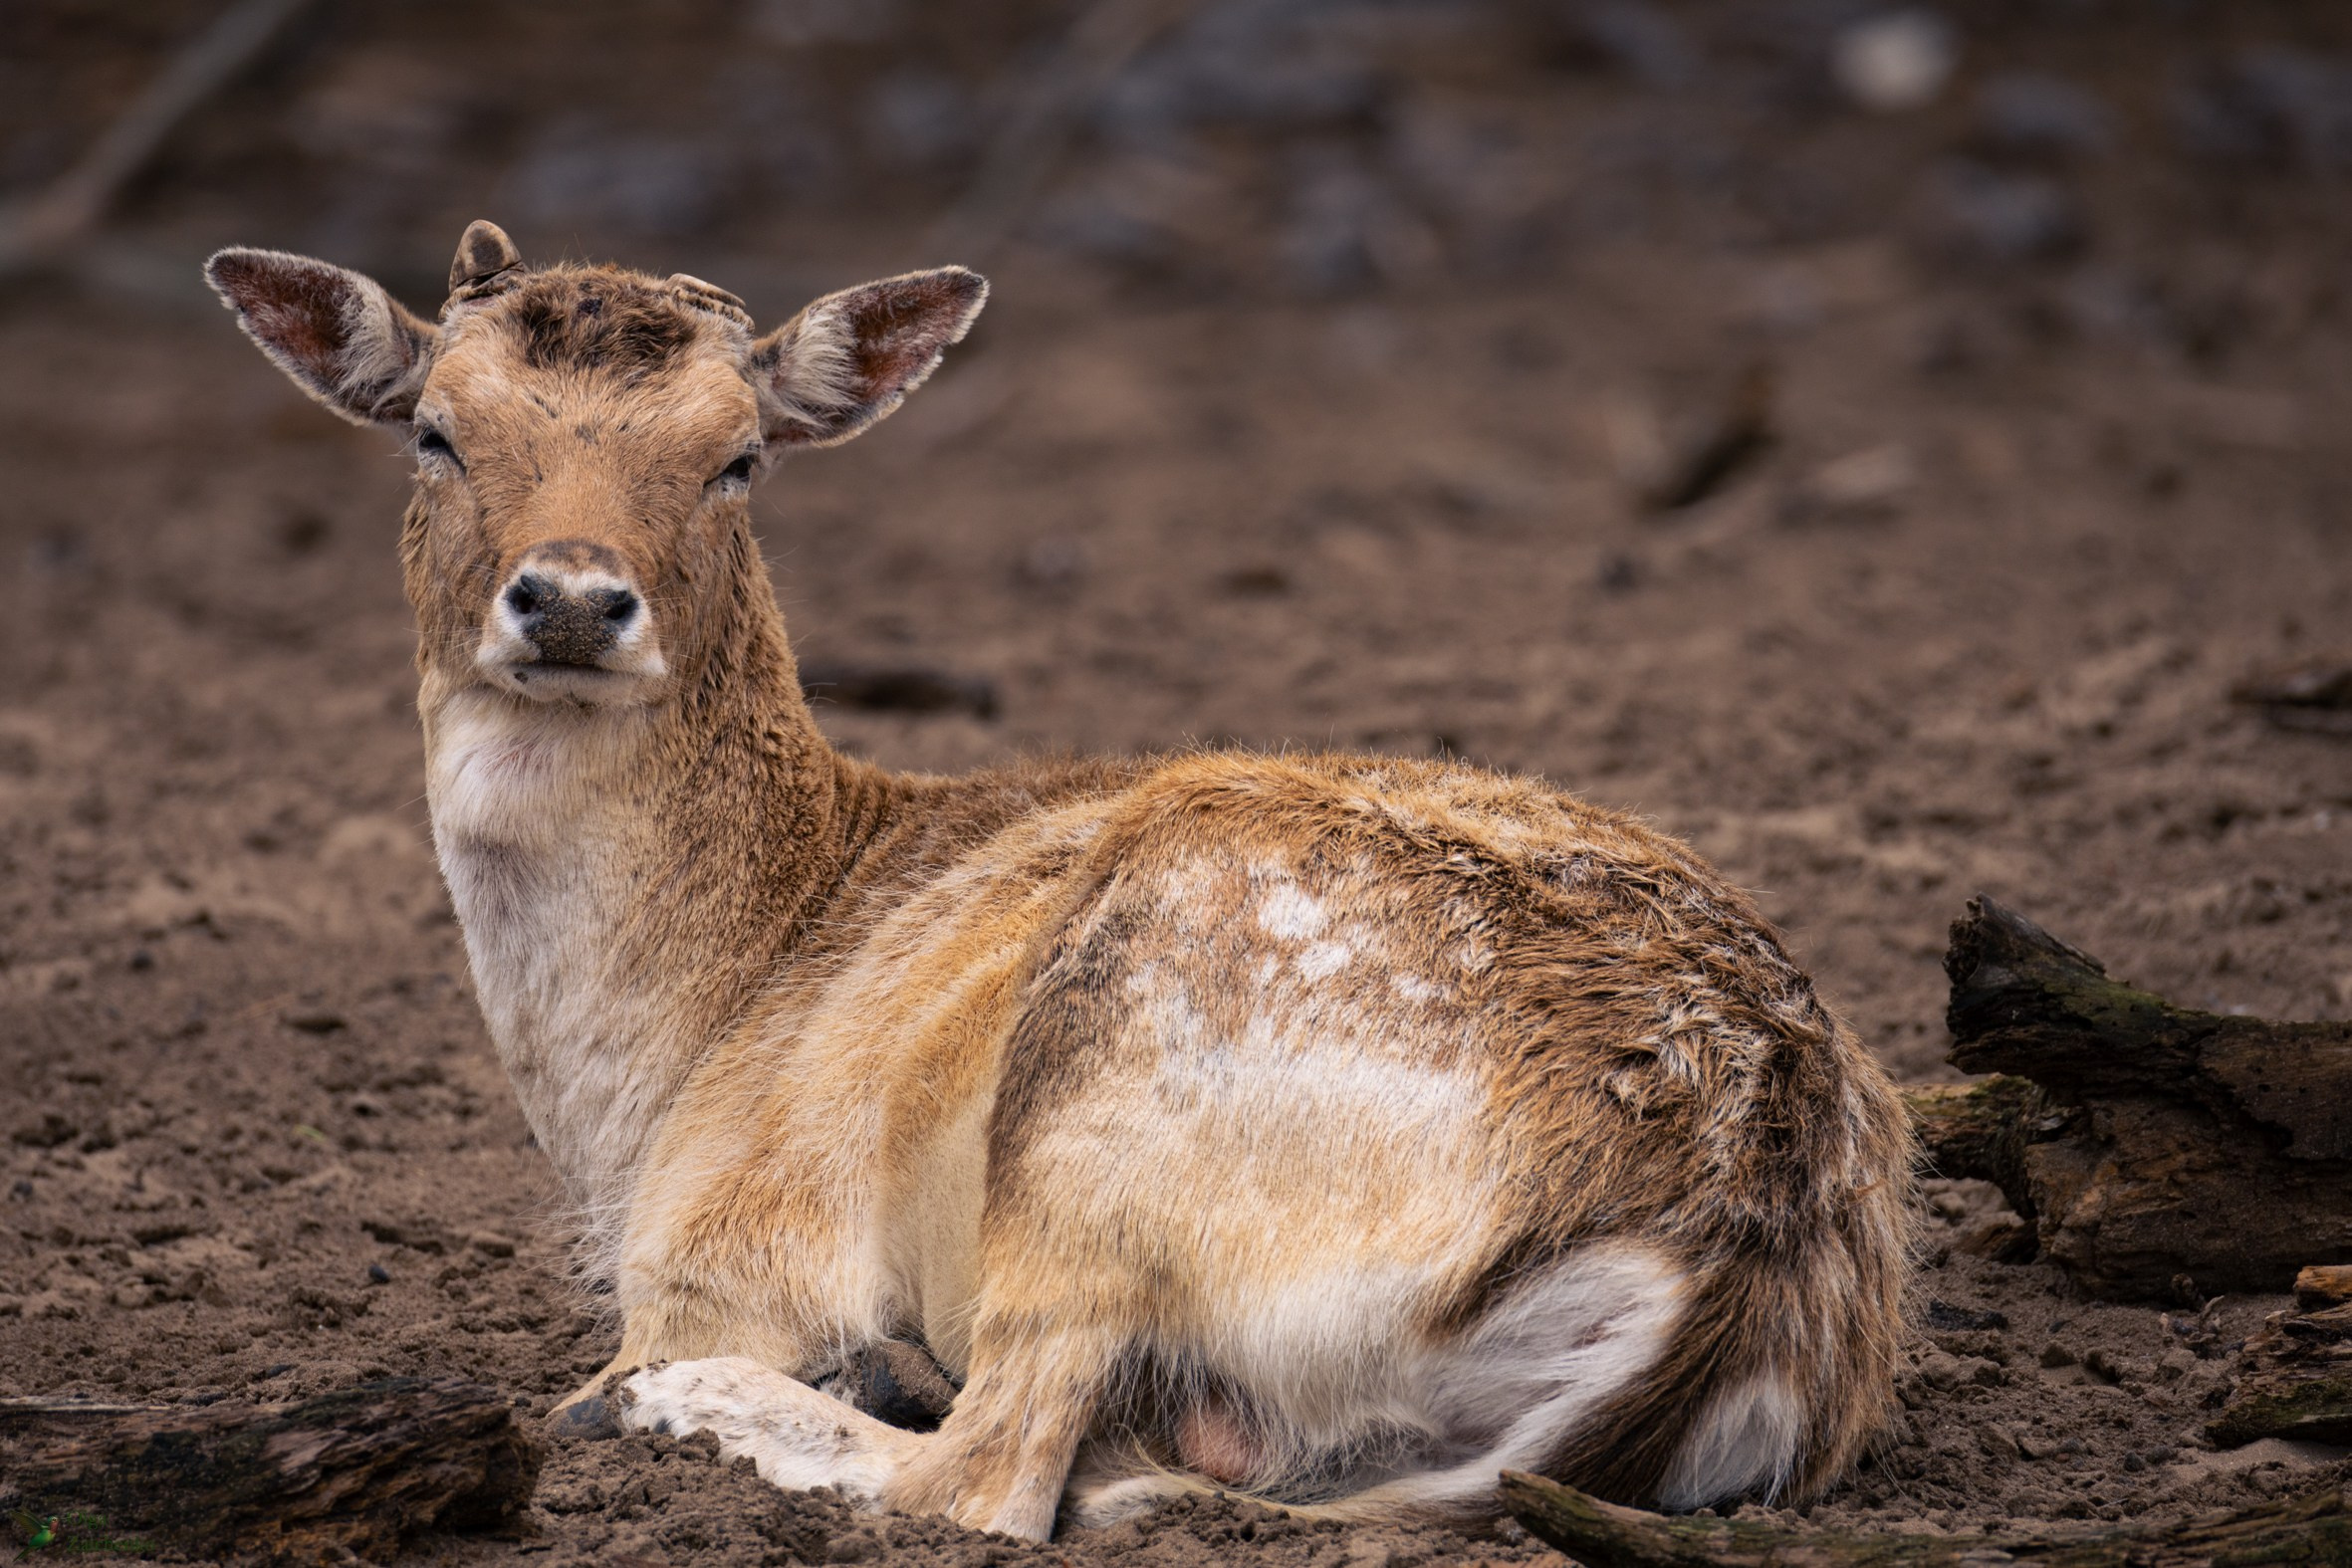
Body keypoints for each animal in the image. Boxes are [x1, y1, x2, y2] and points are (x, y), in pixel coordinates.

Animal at [204, 220, 1914, 1543]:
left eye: (736, 456)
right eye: (436, 430)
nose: (567, 598)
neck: (654, 1068)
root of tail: (1741, 1245)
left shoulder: (731, 1243)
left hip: (1111, 1089)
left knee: (990, 1474)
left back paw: (691, 1402)